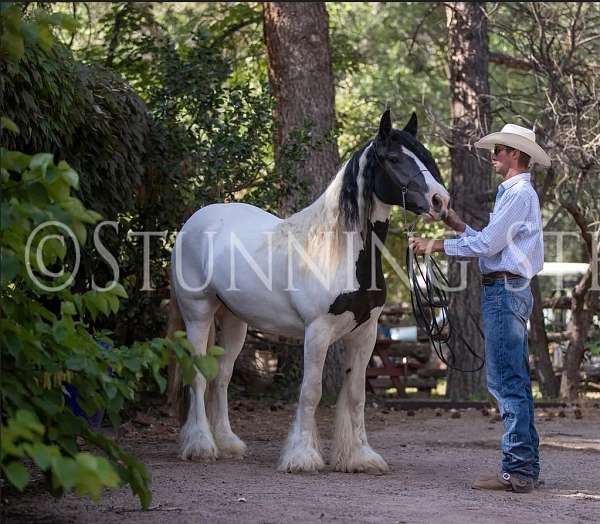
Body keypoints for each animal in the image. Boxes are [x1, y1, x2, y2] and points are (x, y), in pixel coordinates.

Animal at [171, 109, 448, 470]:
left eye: (425, 156)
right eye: (394, 158)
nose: (440, 200)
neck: (338, 251)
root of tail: (195, 221)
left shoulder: (365, 333)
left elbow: (356, 394)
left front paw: (360, 456)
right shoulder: (317, 331)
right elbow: (311, 391)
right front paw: (301, 456)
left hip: (234, 320)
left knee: (221, 377)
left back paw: (228, 444)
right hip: (198, 313)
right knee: (199, 375)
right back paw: (201, 445)